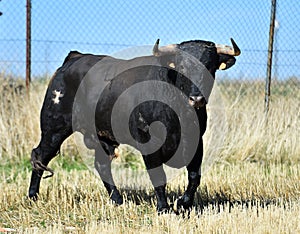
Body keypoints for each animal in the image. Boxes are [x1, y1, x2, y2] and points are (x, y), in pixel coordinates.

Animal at [28, 39, 239, 213]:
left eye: (210, 66)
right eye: (181, 67)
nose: (196, 99)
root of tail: (75, 58)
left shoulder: (196, 142)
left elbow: (194, 177)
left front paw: (183, 203)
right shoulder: (148, 143)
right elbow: (158, 177)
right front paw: (163, 208)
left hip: (100, 136)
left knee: (101, 165)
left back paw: (117, 200)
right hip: (54, 128)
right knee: (40, 155)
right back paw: (32, 196)